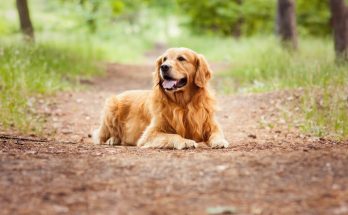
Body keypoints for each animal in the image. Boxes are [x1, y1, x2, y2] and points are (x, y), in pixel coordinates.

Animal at [92, 47, 228, 149]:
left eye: (181, 58)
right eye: (164, 59)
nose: (164, 66)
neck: (182, 105)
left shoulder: (211, 124)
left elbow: (217, 133)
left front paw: (220, 141)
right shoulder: (150, 133)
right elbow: (173, 135)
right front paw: (185, 141)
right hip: (110, 108)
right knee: (100, 136)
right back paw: (112, 139)